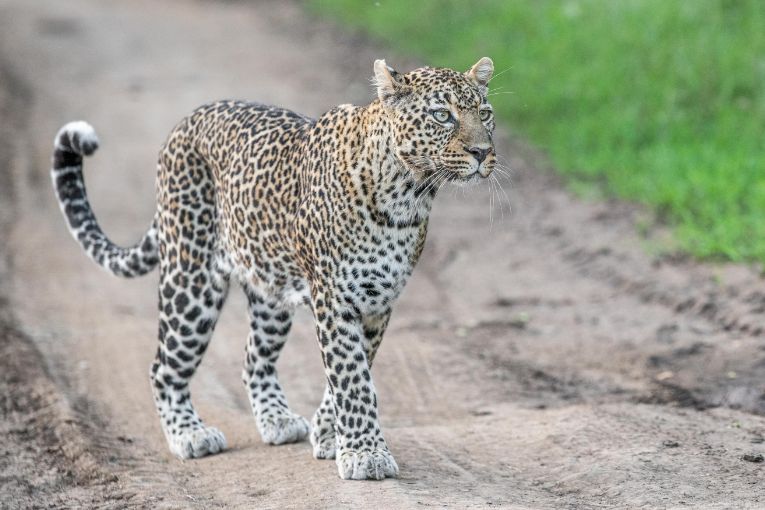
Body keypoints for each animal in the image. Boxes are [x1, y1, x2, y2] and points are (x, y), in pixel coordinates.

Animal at [50, 57, 498, 480]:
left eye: (485, 113)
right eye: (442, 115)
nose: (482, 153)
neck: (408, 195)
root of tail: (186, 120)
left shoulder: (377, 304)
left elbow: (353, 373)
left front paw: (330, 436)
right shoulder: (335, 299)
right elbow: (352, 380)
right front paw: (365, 455)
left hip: (270, 293)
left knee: (253, 359)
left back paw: (277, 420)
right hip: (192, 280)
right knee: (164, 367)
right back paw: (190, 435)